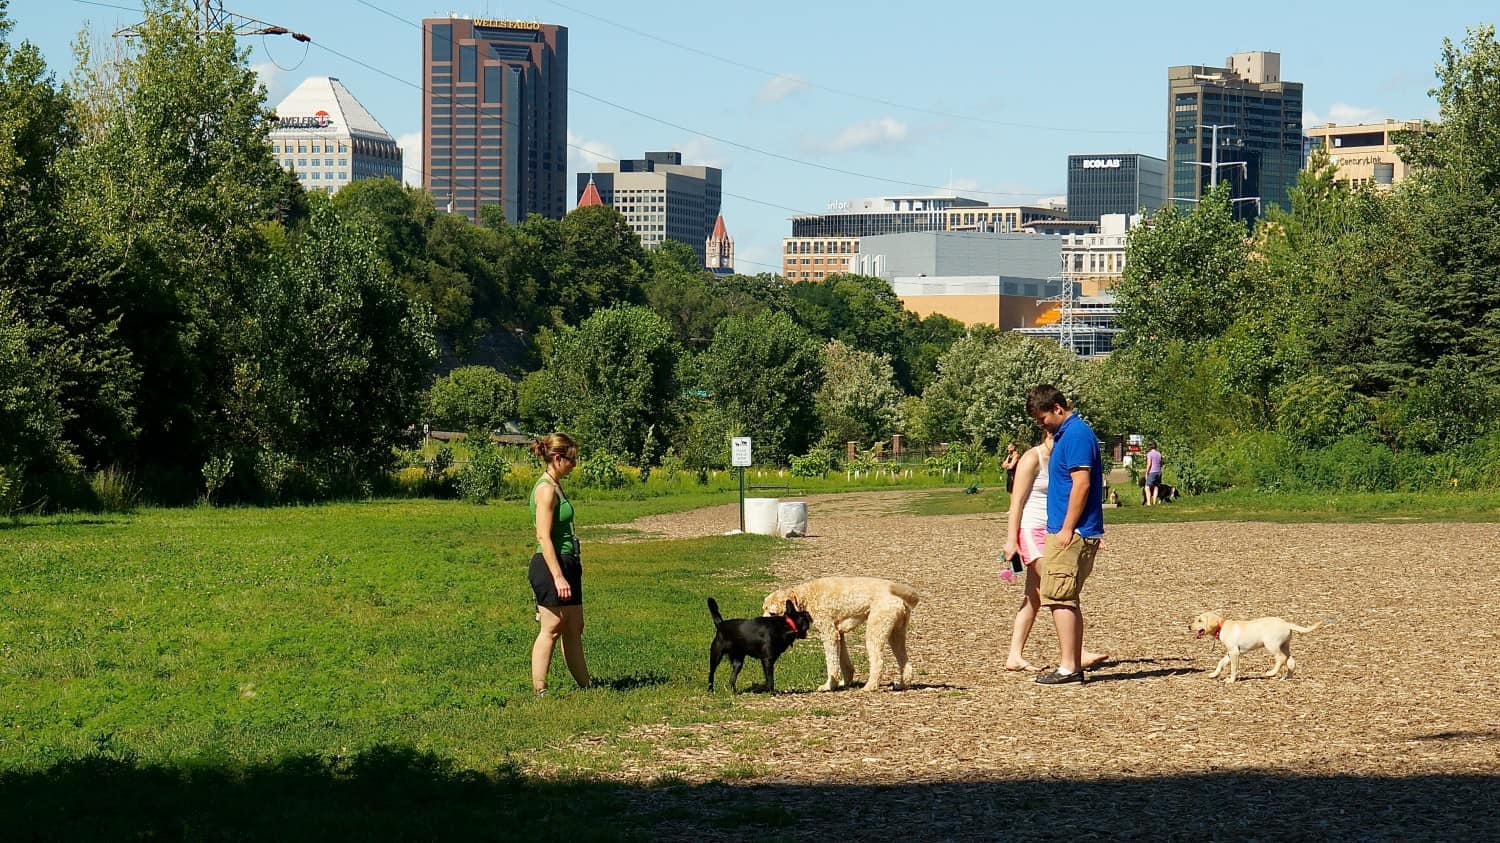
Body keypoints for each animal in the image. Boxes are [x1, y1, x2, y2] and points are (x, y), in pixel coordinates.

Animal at [762, 576, 912, 690]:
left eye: (772, 613)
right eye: (764, 608)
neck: (806, 596)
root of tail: (900, 600)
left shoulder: (829, 633)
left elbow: (832, 663)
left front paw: (829, 686)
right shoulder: (839, 634)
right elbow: (844, 662)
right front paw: (844, 682)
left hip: (875, 633)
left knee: (878, 662)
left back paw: (870, 686)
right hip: (895, 635)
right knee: (905, 662)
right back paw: (902, 685)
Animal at [1188, 609, 1332, 684]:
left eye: (1200, 620)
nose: (1188, 626)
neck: (1221, 627)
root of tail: (1286, 623)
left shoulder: (1234, 652)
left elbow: (1233, 668)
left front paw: (1231, 680)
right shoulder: (1230, 652)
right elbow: (1221, 663)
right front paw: (1214, 674)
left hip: (1271, 644)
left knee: (1281, 658)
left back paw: (1271, 673)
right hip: (1285, 645)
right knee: (1291, 661)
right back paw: (1286, 677)